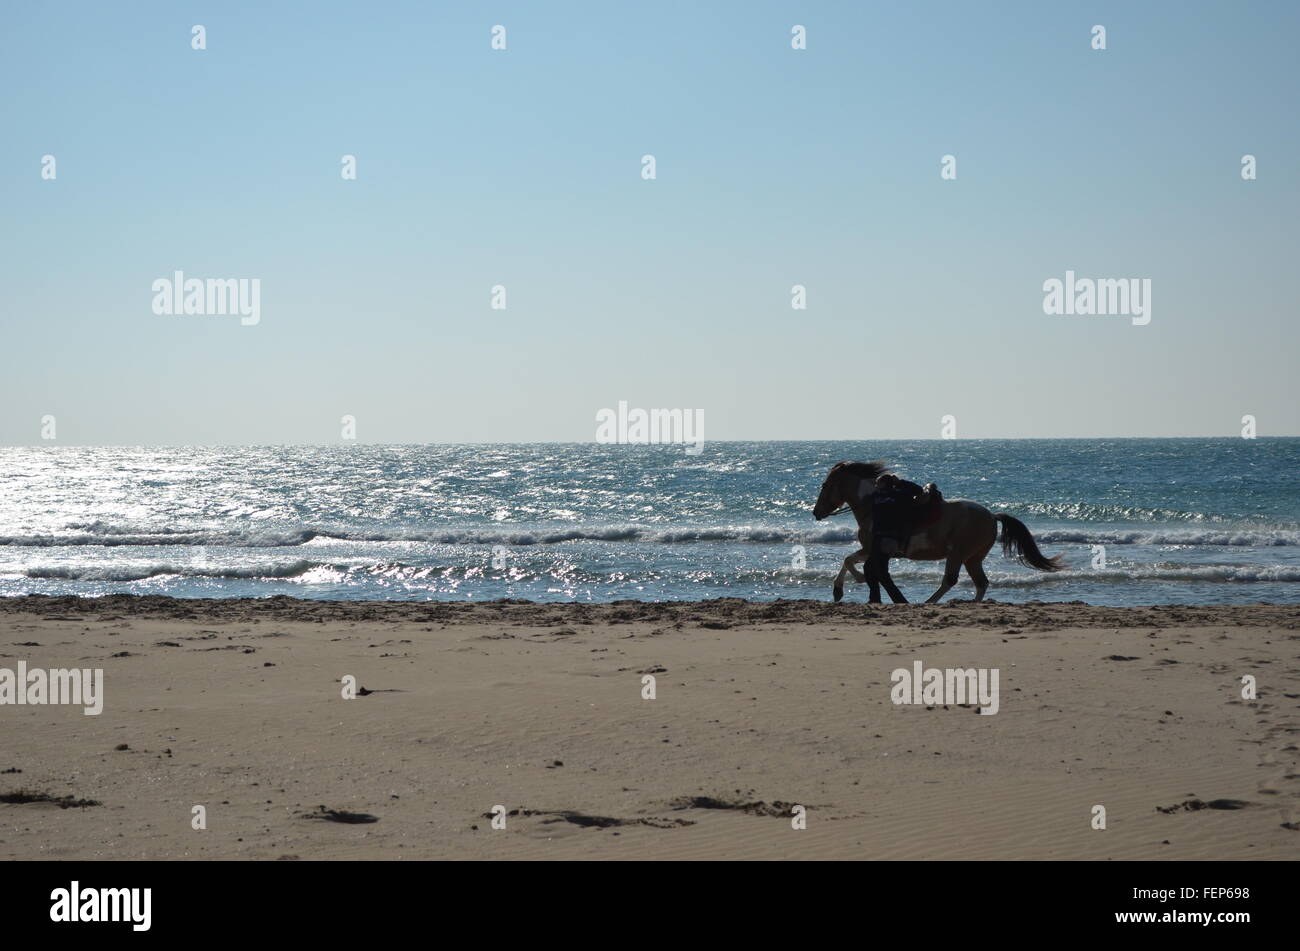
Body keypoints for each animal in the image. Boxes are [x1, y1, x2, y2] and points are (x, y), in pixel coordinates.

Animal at [811, 461, 1064, 604]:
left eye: (825, 486)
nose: (815, 513)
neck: (874, 504)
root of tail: (992, 516)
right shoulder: (871, 548)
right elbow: (849, 559)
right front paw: (839, 590)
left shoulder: (877, 548)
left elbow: (852, 562)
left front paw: (853, 582)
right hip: (973, 557)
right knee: (981, 582)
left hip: (959, 553)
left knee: (951, 580)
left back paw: (928, 601)